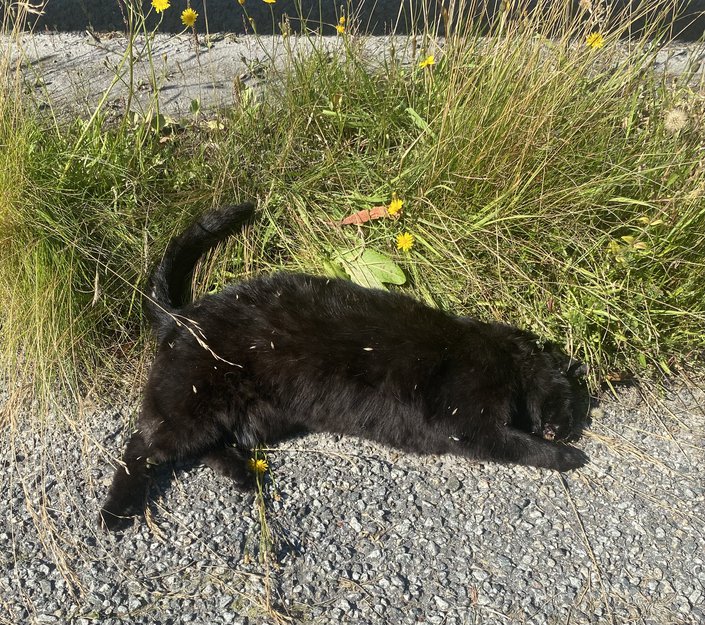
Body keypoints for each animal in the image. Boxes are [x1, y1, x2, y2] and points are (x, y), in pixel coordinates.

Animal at [99, 202, 589, 531]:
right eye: (570, 399)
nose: (565, 429)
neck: (502, 357)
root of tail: (183, 316)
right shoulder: (469, 424)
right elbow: (521, 445)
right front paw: (565, 455)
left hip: (253, 416)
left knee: (208, 446)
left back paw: (242, 473)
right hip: (192, 404)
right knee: (140, 447)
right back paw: (115, 512)